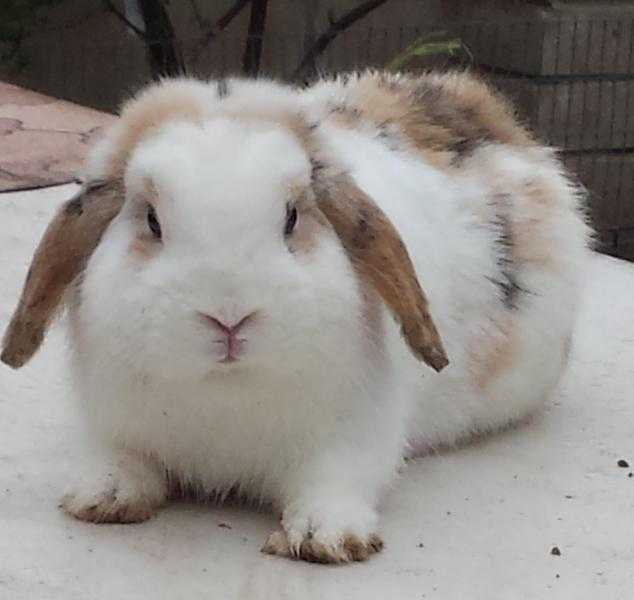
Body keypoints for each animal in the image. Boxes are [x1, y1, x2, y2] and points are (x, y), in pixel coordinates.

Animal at [3, 70, 588, 564]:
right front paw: (102, 498)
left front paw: (327, 538)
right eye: (151, 220)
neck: (225, 394)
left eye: (291, 218)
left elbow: (333, 484)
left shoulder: (352, 439)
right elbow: (122, 461)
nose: (229, 318)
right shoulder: (114, 425)